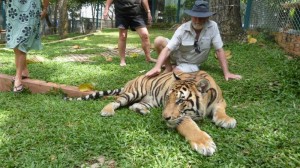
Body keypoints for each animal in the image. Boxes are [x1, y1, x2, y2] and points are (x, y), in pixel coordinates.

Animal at [65, 70, 237, 156]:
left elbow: (220, 110)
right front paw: (204, 143)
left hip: (149, 100)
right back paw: (107, 111)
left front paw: (226, 120)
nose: (164, 117)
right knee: (116, 101)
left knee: (133, 106)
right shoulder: (180, 118)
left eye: (180, 101)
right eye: (168, 98)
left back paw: (142, 110)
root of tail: (131, 81)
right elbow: (190, 126)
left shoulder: (220, 101)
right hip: (133, 92)